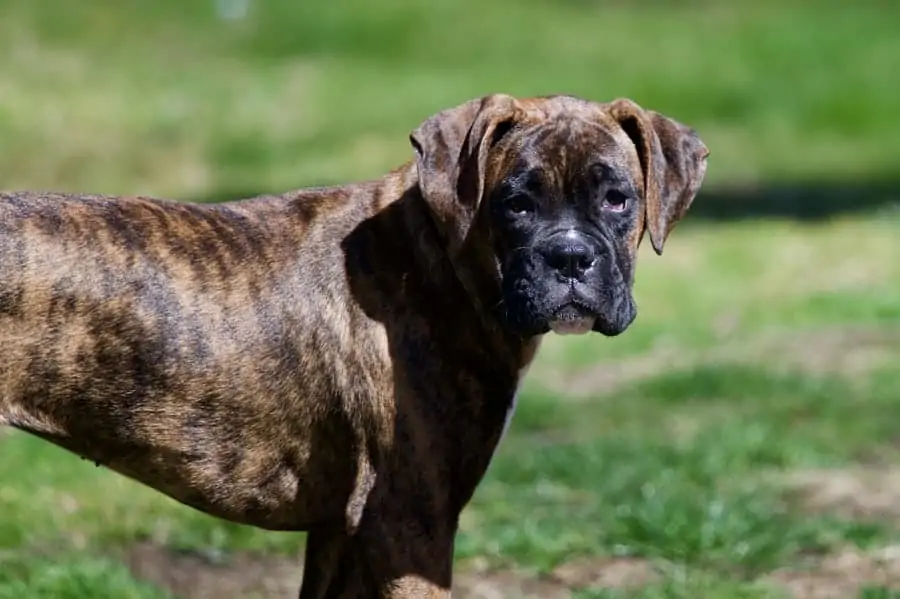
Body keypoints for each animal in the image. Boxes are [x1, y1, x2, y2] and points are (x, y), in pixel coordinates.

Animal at [0, 94, 712, 596]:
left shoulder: (341, 534)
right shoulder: (410, 528)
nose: (568, 257)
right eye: (515, 204)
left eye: (617, 199)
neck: (440, 258)